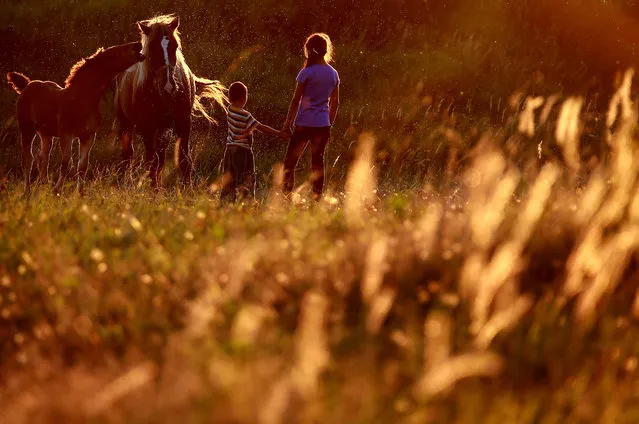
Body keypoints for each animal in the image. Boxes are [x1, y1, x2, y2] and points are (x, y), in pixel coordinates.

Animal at [7, 40, 145, 195]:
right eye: (115, 52)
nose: (138, 44)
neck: (83, 98)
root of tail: (27, 85)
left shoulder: (88, 136)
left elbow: (82, 166)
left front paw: (80, 193)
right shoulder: (66, 135)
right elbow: (66, 164)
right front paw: (57, 190)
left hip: (46, 134)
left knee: (42, 157)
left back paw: (43, 184)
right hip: (27, 129)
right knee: (27, 159)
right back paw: (28, 191)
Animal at [115, 14, 228, 187]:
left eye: (174, 46)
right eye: (152, 47)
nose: (168, 85)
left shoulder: (183, 122)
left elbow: (183, 160)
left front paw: (187, 188)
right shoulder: (147, 127)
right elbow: (151, 162)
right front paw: (154, 189)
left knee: (158, 158)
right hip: (127, 123)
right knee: (130, 155)